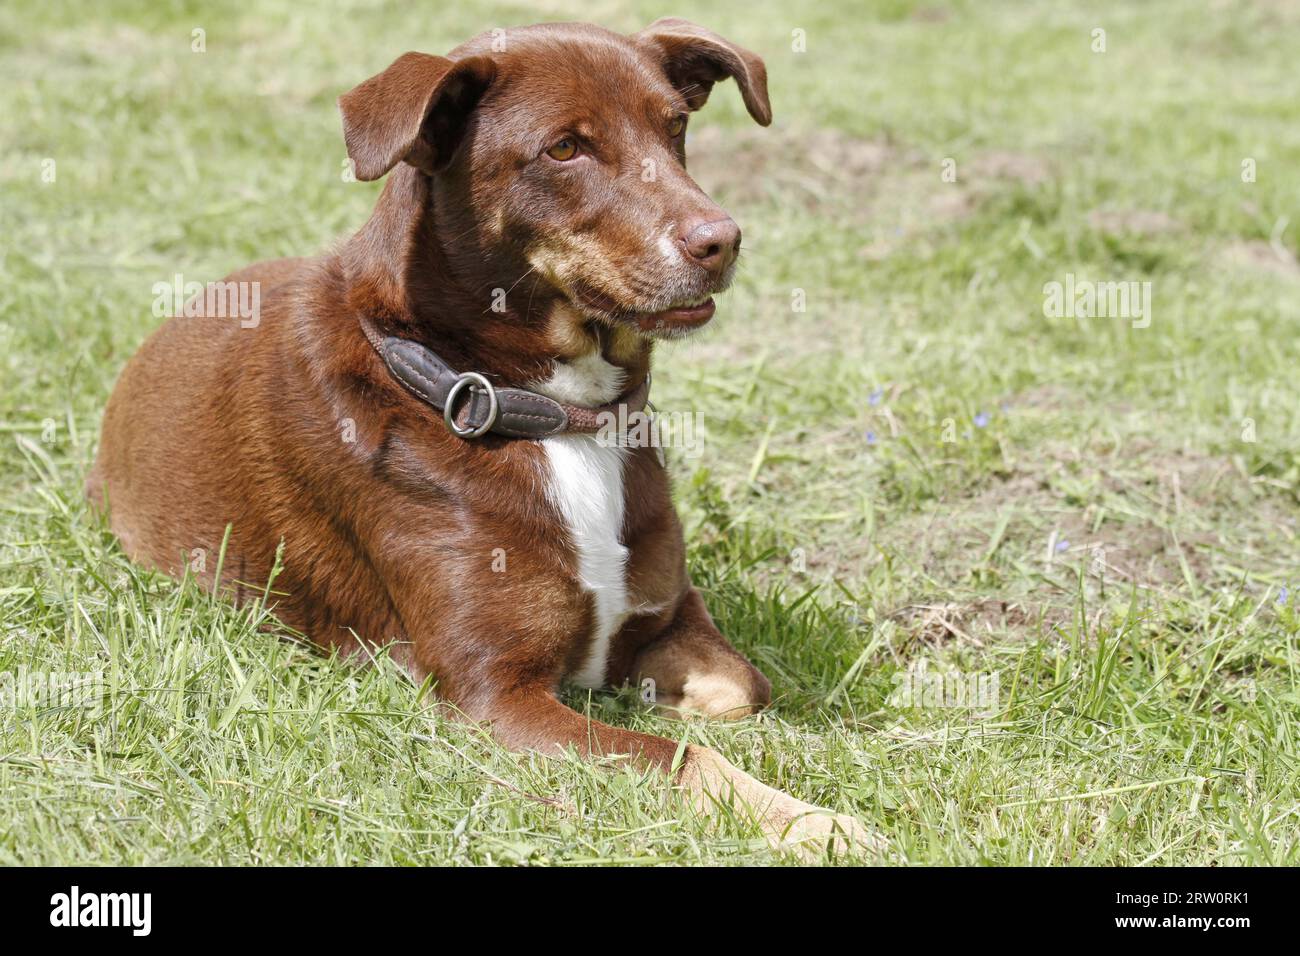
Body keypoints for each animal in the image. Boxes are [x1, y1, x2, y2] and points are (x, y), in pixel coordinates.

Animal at [86, 18, 868, 858]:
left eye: (676, 127)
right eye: (564, 148)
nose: (721, 240)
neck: (549, 413)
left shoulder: (669, 612)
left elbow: (741, 689)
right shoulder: (494, 695)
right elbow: (685, 761)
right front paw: (812, 820)